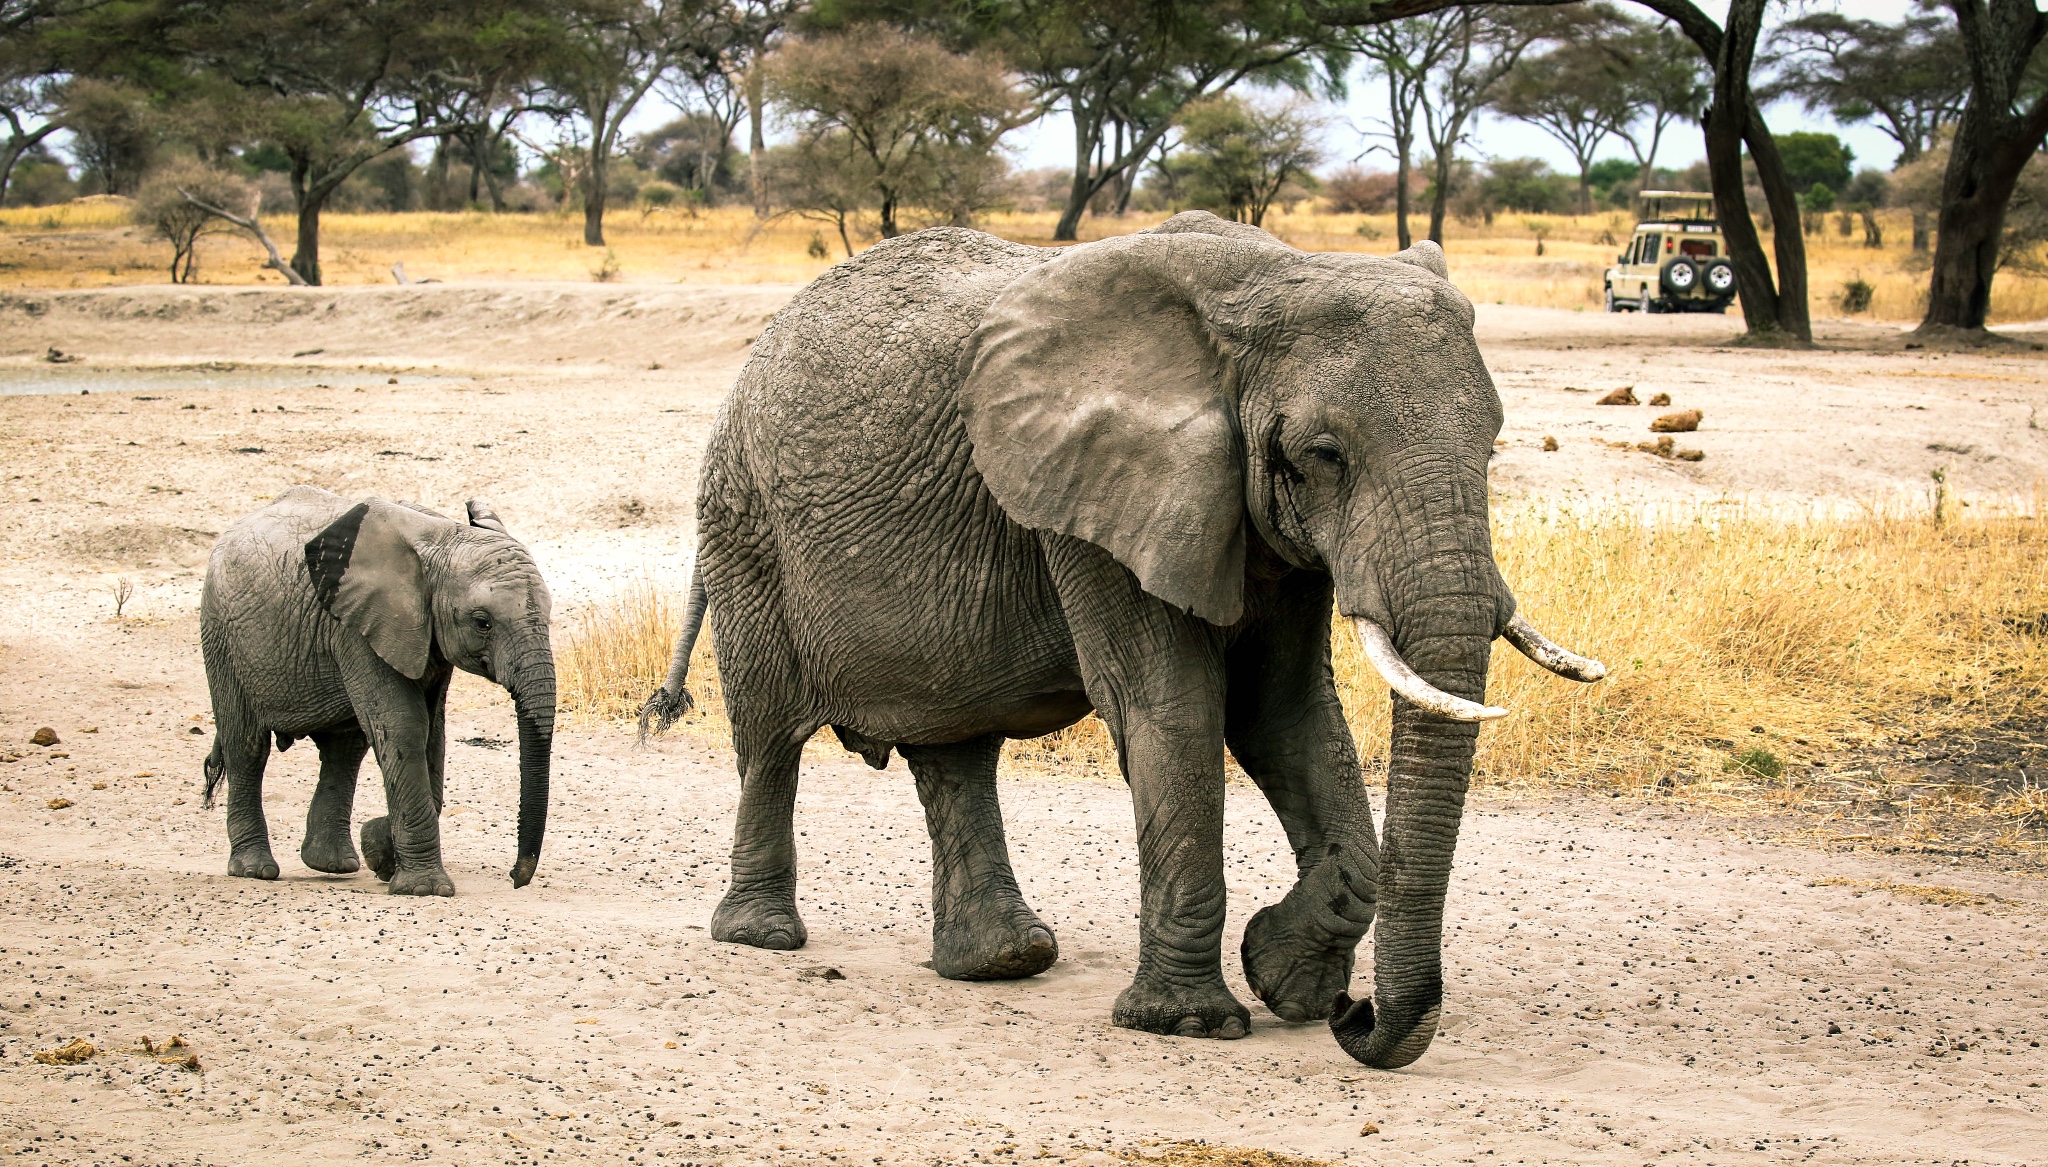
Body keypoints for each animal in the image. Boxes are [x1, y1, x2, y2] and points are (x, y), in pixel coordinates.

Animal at [196, 481, 557, 888]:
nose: (514, 877)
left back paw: (333, 865)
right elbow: (404, 726)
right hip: (221, 633)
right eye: (483, 623)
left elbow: (432, 734)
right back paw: (255, 870)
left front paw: (379, 852)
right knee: (247, 746)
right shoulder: (359, 627)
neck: (442, 537)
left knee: (345, 749)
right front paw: (423, 888)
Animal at [638, 213, 1597, 1064]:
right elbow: (1172, 709)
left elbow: (1286, 716)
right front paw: (1189, 1023)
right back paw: (763, 935)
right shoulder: (1095, 502)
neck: (1266, 279)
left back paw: (1004, 959)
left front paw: (1286, 982)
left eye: (1493, 444)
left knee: (954, 749)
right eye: (1325, 453)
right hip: (745, 525)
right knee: (770, 737)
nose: (1357, 1016)